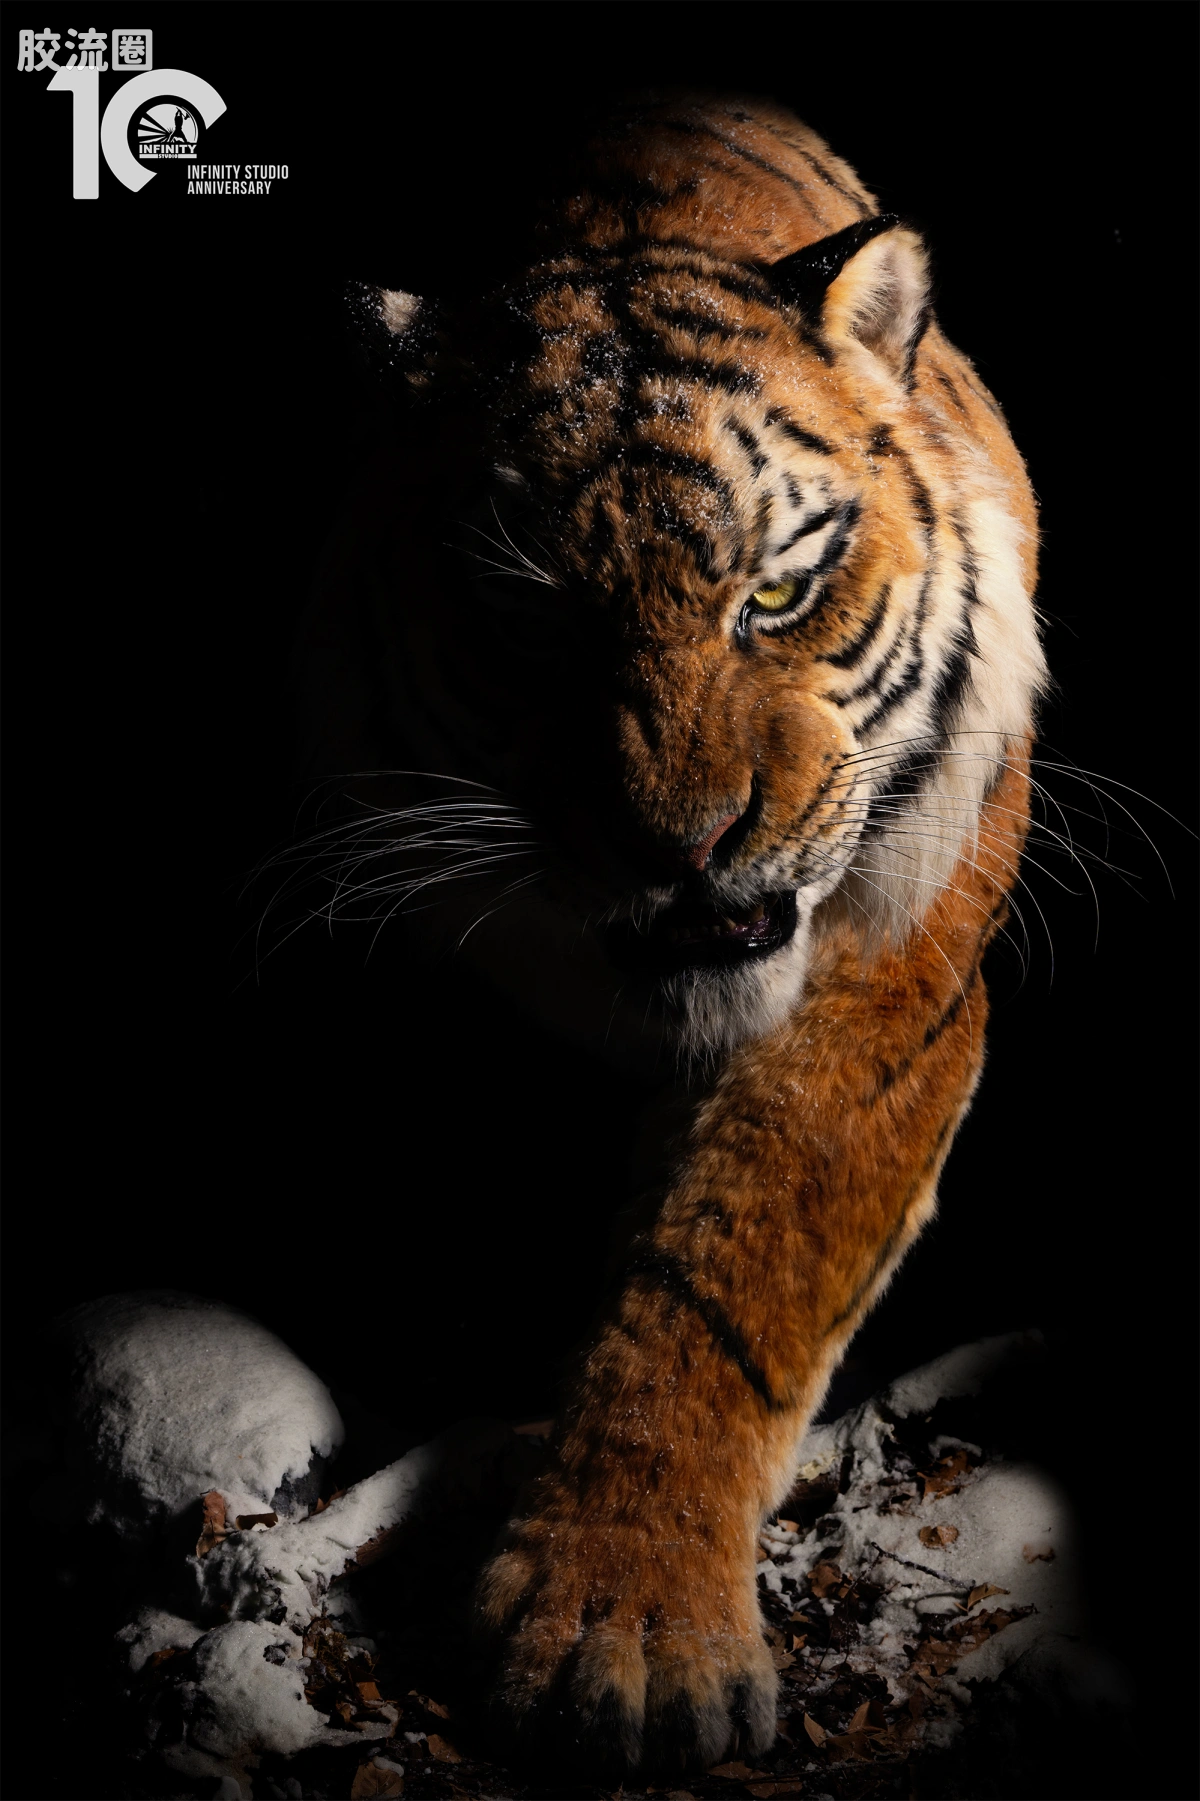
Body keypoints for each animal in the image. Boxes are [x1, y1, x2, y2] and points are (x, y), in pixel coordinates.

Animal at [293, 92, 1045, 1775]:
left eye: (775, 593)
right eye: (534, 625)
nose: (686, 846)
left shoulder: (887, 981)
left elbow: (725, 1281)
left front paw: (625, 1641)